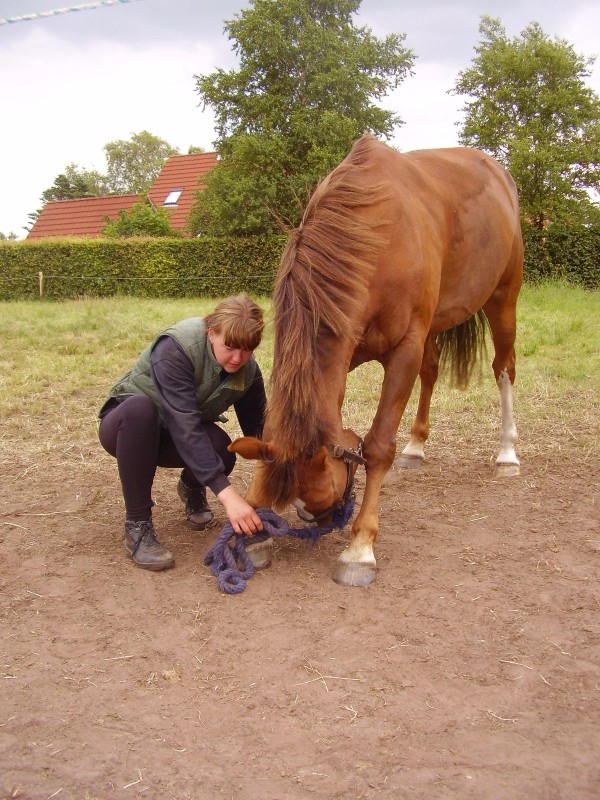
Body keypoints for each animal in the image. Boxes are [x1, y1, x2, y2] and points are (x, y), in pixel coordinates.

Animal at [232, 133, 524, 588]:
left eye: (324, 495)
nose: (322, 520)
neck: (373, 237)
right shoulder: (346, 351)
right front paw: (252, 527)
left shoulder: (403, 349)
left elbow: (379, 445)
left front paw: (360, 547)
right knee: (432, 371)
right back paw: (417, 447)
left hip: (503, 299)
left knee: (503, 368)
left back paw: (507, 453)